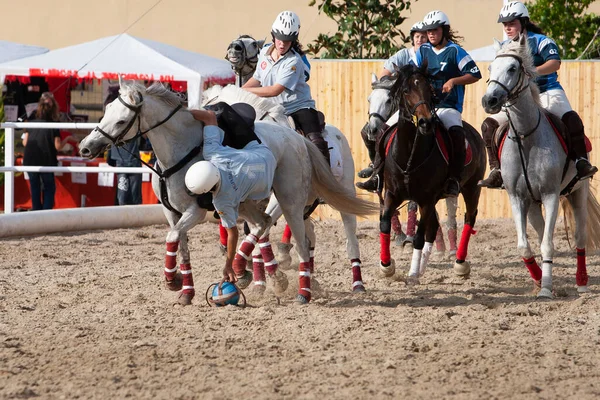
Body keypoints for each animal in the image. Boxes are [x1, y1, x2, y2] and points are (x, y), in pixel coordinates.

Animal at [79, 82, 376, 306]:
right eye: (105, 111)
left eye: (121, 120)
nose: (85, 147)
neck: (181, 149)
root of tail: (298, 139)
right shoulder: (172, 213)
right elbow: (181, 246)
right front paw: (184, 289)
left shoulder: (196, 211)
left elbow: (175, 237)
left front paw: (174, 280)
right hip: (280, 205)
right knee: (286, 232)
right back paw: (303, 280)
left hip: (308, 200)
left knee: (340, 239)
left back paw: (347, 284)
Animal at [380, 64, 488, 284]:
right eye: (406, 91)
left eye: (429, 90)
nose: (425, 122)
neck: (409, 155)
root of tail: (474, 132)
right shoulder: (392, 194)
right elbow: (385, 223)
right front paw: (387, 267)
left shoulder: (426, 199)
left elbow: (419, 236)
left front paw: (412, 274)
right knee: (433, 227)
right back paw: (423, 267)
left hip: (471, 188)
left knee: (469, 218)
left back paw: (460, 263)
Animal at [480, 36, 600, 296]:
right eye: (490, 68)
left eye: (512, 68)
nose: (489, 100)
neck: (526, 136)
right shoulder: (517, 197)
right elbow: (524, 246)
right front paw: (538, 281)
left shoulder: (550, 195)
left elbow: (548, 244)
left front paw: (545, 289)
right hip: (533, 204)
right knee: (542, 229)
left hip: (577, 192)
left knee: (579, 237)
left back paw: (581, 282)